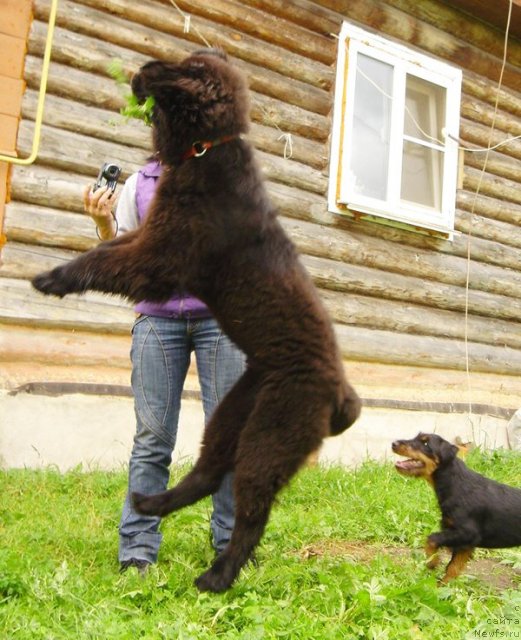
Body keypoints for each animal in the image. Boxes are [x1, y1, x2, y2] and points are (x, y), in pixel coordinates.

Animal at [30, 47, 360, 592]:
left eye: (180, 66)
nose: (138, 73)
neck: (207, 152)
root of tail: (340, 393)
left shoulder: (163, 257)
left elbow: (103, 262)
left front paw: (52, 277)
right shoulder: (150, 238)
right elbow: (106, 247)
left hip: (271, 433)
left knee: (251, 513)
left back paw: (217, 577)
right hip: (233, 411)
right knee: (207, 473)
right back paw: (149, 502)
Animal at [392, 432, 520, 584]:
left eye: (425, 443)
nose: (394, 444)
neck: (454, 483)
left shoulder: (467, 533)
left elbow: (431, 539)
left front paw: (433, 562)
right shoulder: (465, 543)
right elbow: (453, 567)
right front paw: (443, 585)